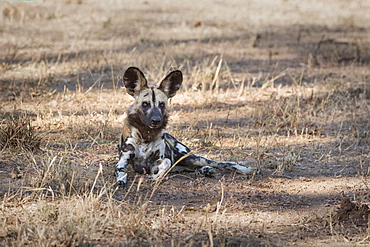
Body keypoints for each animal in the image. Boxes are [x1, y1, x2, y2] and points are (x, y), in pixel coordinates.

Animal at [115, 66, 254, 186]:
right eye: (145, 104)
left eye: (162, 104)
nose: (156, 120)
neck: (146, 135)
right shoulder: (123, 160)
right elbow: (121, 170)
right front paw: (121, 180)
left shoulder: (158, 161)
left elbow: (166, 162)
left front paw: (156, 176)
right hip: (183, 164)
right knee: (192, 168)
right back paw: (206, 170)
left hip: (190, 158)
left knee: (222, 163)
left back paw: (244, 169)